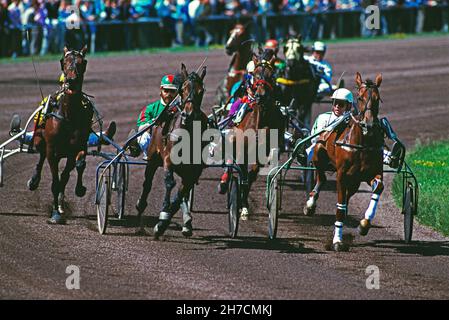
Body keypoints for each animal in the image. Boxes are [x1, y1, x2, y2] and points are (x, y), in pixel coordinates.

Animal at [28, 46, 92, 224]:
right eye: (64, 62)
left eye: (82, 62)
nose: (71, 80)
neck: (69, 115)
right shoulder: (52, 151)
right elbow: (55, 182)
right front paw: (55, 213)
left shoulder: (75, 148)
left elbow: (69, 172)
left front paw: (76, 191)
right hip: (39, 140)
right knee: (41, 156)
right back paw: (34, 181)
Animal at [136, 63, 207, 239]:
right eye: (183, 90)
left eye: (201, 91)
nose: (188, 114)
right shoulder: (168, 159)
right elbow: (169, 183)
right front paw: (162, 218)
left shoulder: (194, 171)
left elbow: (182, 193)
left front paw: (164, 222)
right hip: (153, 159)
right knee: (147, 182)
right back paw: (141, 204)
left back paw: (187, 222)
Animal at [306, 73, 384, 252]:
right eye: (360, 97)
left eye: (377, 99)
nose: (369, 125)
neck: (362, 144)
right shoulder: (342, 176)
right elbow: (339, 207)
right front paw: (337, 241)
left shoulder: (371, 173)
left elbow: (379, 187)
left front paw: (364, 223)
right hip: (319, 152)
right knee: (322, 178)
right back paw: (310, 204)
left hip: (354, 181)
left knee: (347, 195)